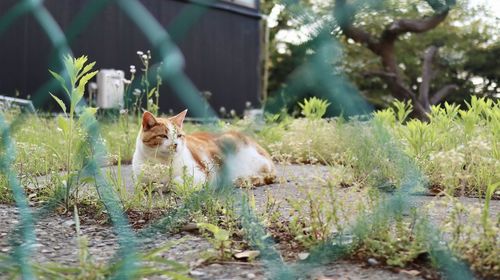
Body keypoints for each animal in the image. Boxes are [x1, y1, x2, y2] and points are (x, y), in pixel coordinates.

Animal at [131, 110, 276, 187]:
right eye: (163, 136)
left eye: (179, 135)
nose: (175, 144)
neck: (163, 163)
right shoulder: (141, 181)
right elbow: (150, 184)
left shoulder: (201, 175)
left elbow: (176, 181)